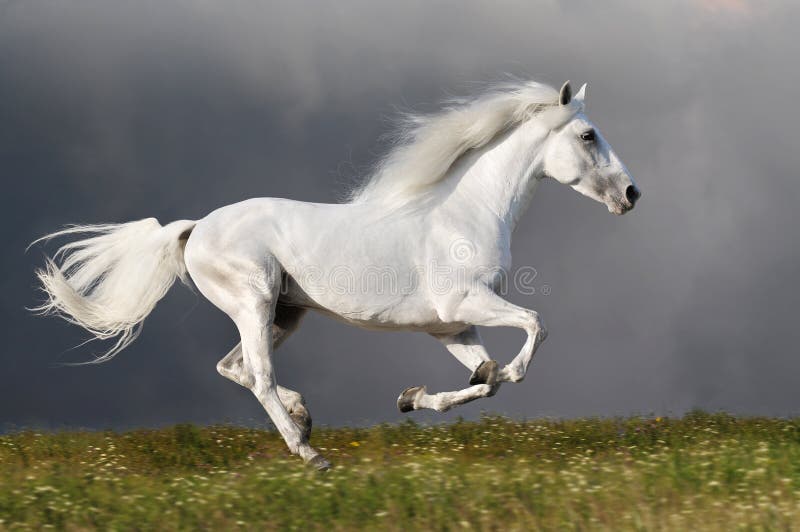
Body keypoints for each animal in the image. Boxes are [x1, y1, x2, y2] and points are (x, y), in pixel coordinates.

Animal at [32, 80, 644, 470]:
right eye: (588, 136)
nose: (632, 194)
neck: (464, 212)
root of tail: (196, 228)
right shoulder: (464, 305)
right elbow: (533, 328)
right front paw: (502, 372)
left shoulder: (450, 327)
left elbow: (484, 380)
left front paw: (412, 398)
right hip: (254, 303)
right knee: (257, 374)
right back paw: (309, 452)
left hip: (285, 314)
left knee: (235, 367)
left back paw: (304, 418)